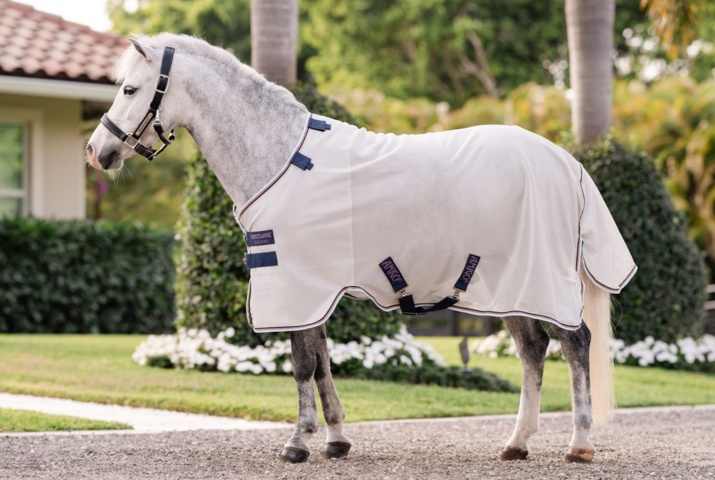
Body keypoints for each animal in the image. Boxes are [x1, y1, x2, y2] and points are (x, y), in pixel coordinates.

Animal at [86, 33, 636, 464]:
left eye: (130, 89)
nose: (97, 151)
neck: (280, 157)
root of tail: (566, 161)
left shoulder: (296, 286)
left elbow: (302, 364)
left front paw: (297, 443)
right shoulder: (313, 291)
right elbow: (322, 361)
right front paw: (335, 439)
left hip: (543, 283)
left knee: (576, 344)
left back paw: (579, 444)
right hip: (514, 287)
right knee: (533, 351)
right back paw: (517, 443)